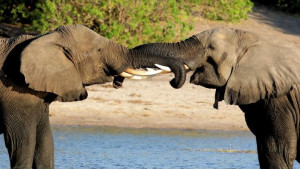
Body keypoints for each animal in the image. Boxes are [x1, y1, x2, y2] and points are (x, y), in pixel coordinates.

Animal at [0, 24, 188, 169]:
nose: (174, 81)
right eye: (99, 50)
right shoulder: (15, 92)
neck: (45, 39)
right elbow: (23, 142)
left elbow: (45, 142)